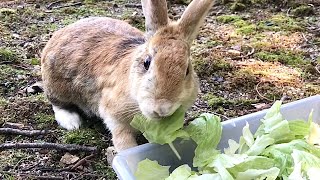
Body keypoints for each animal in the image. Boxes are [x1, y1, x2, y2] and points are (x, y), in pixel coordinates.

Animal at [40, 0, 215, 152]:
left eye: (187, 70)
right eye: (146, 63)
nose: (161, 109)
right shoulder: (113, 113)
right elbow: (122, 137)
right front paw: (127, 151)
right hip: (56, 85)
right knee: (58, 104)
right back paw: (72, 122)